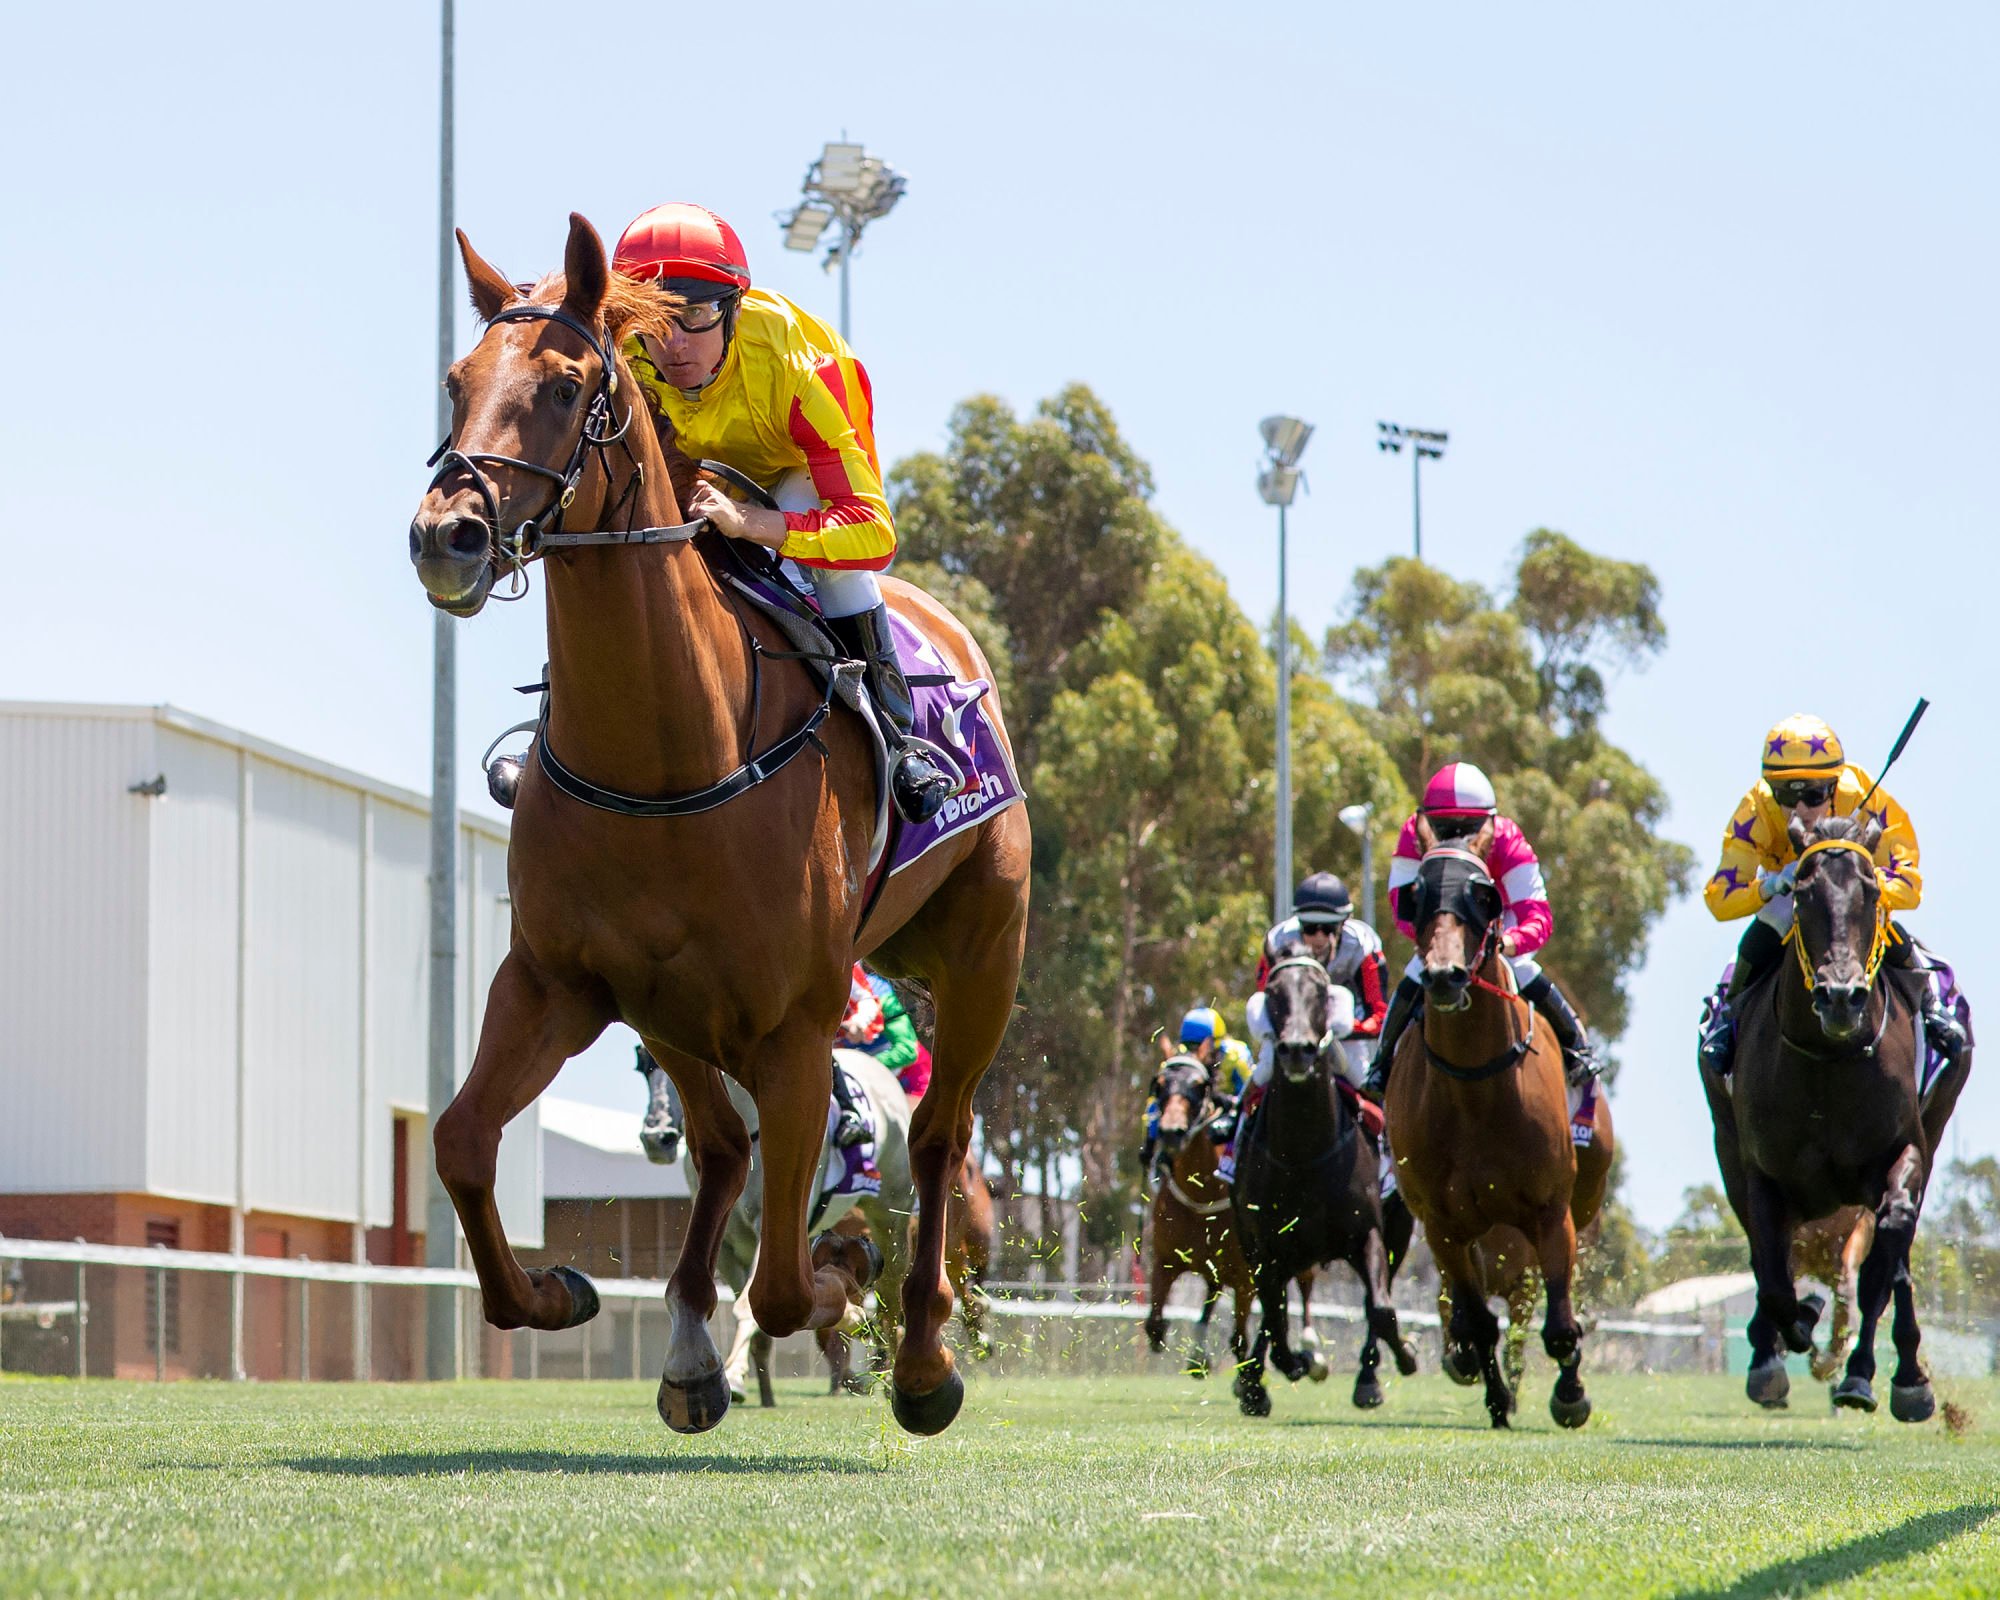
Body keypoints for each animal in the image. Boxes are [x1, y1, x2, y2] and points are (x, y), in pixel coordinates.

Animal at [406, 212, 1032, 1440]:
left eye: (564, 386)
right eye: (453, 381)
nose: (444, 536)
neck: (667, 756)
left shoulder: (796, 1025)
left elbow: (795, 1281)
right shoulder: (559, 979)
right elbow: (460, 1142)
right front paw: (561, 1293)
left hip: (983, 948)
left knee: (939, 1143)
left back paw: (924, 1356)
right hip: (680, 1008)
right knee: (723, 1145)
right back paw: (695, 1347)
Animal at [1224, 956, 1416, 1408]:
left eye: (1322, 992)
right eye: (1273, 992)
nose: (1297, 1049)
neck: (1303, 1155)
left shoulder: (1367, 1233)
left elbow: (1381, 1309)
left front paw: (1405, 1354)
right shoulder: (1265, 1247)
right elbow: (1275, 1317)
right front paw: (1285, 1367)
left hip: (1399, 1230)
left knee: (1375, 1300)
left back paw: (1368, 1378)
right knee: (1273, 1310)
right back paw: (1256, 1381)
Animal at [1384, 832, 1616, 1432]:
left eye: (1483, 895)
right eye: (1416, 894)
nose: (1444, 975)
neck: (1476, 1090)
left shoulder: (1550, 1213)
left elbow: (1559, 1324)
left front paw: (1571, 1395)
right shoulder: (1443, 1226)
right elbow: (1476, 1319)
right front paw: (1495, 1398)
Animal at [1704, 820, 1968, 1416]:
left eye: (1871, 894)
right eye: (1802, 896)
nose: (1842, 997)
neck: (1827, 1061)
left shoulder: (1904, 1153)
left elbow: (1880, 1266)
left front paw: (1864, 1376)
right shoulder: (1761, 1174)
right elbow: (1774, 1278)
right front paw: (1792, 1332)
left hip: (1936, 1124)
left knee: (1896, 1254)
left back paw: (1903, 1377)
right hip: (1727, 1149)